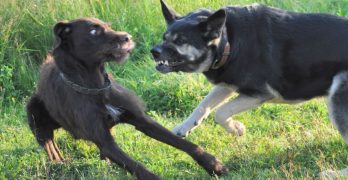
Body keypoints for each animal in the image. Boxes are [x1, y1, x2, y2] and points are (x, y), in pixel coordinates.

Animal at [26, 17, 228, 179]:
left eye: (108, 26)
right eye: (93, 30)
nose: (128, 37)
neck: (95, 86)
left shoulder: (140, 119)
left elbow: (184, 143)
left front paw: (213, 165)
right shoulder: (104, 141)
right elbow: (138, 168)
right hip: (34, 113)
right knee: (47, 141)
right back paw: (56, 158)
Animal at [152, 0, 348, 177]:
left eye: (181, 40)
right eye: (164, 37)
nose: (153, 51)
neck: (228, 41)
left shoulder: (259, 94)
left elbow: (221, 112)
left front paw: (236, 128)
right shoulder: (227, 84)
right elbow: (203, 105)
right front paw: (184, 127)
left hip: (337, 98)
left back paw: (334, 173)